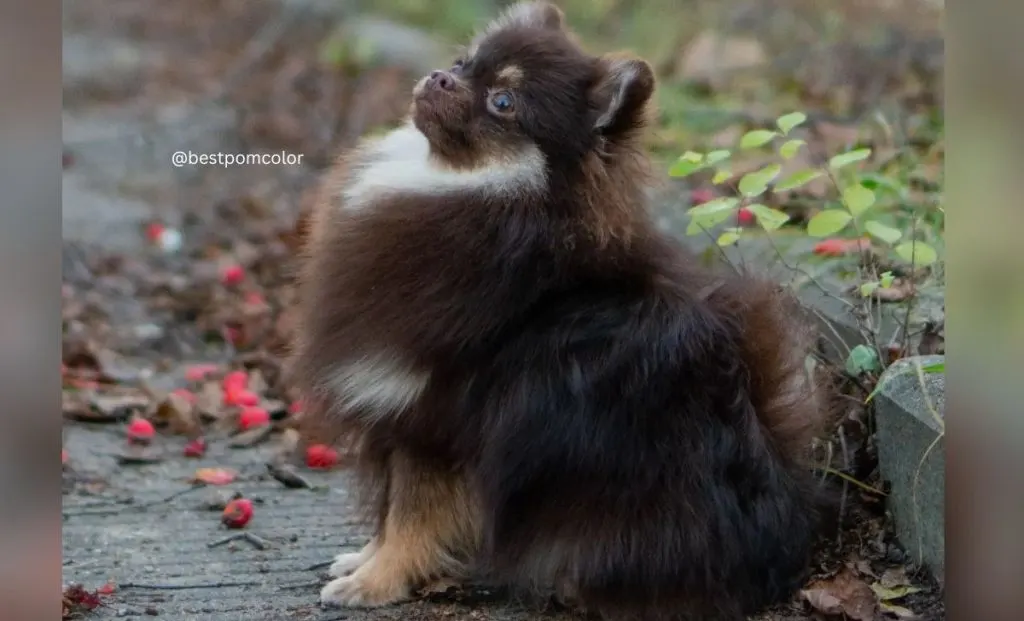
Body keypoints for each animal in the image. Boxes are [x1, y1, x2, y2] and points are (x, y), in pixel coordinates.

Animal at [288, 2, 823, 618]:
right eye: (463, 63)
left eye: (503, 101)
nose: (441, 77)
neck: (474, 190)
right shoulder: (398, 417)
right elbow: (391, 512)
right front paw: (363, 562)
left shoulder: (431, 420)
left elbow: (409, 516)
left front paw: (376, 583)